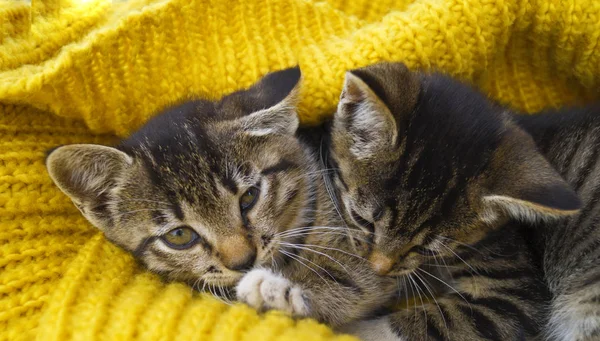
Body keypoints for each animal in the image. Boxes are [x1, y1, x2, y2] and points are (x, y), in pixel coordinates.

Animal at [326, 62, 592, 338]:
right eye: (362, 220)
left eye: (426, 249)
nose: (378, 268)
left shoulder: (516, 293)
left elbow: (431, 322)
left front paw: (346, 328)